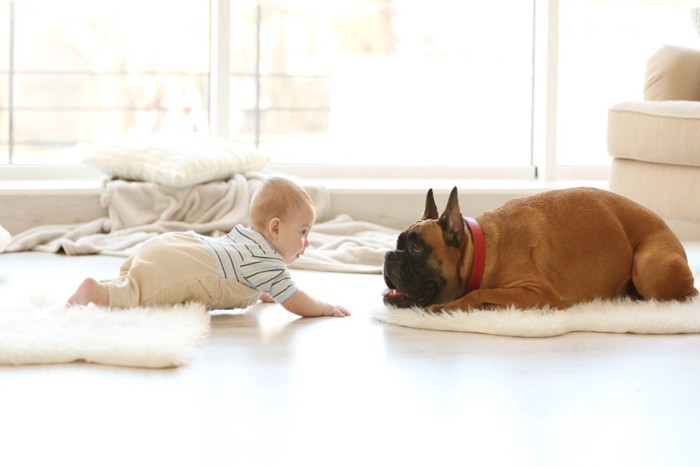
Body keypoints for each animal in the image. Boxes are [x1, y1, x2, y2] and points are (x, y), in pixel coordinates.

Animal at [386, 186, 696, 310]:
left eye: (417, 247)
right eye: (398, 243)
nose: (389, 256)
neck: (481, 251)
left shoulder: (538, 292)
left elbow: (481, 292)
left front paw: (450, 306)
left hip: (647, 267)